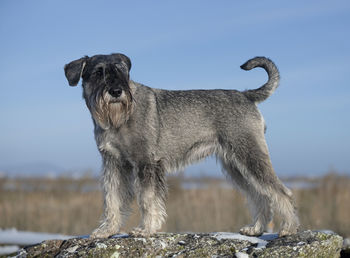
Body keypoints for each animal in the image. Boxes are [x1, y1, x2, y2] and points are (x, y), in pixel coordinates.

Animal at [64, 53, 300, 239]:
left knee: (280, 191)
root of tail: (246, 95)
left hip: (249, 154)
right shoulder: (113, 163)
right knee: (259, 194)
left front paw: (145, 229)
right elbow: (112, 199)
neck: (119, 119)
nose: (116, 91)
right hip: (237, 165)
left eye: (123, 73)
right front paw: (106, 230)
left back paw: (289, 227)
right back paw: (256, 228)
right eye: (98, 73)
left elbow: (147, 199)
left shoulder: (146, 162)